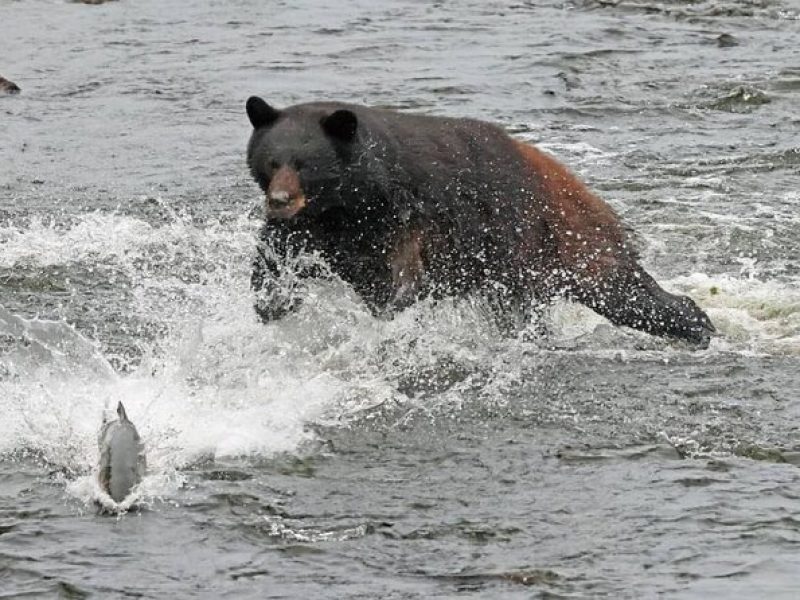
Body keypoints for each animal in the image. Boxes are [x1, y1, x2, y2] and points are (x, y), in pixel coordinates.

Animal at [244, 95, 712, 344]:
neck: (349, 201)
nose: (280, 200)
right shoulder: (313, 227)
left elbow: (397, 274)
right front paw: (272, 303)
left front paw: (390, 307)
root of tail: (583, 189)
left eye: (305, 164)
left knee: (623, 291)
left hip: (560, 240)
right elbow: (276, 258)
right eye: (272, 161)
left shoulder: (405, 216)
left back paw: (698, 323)